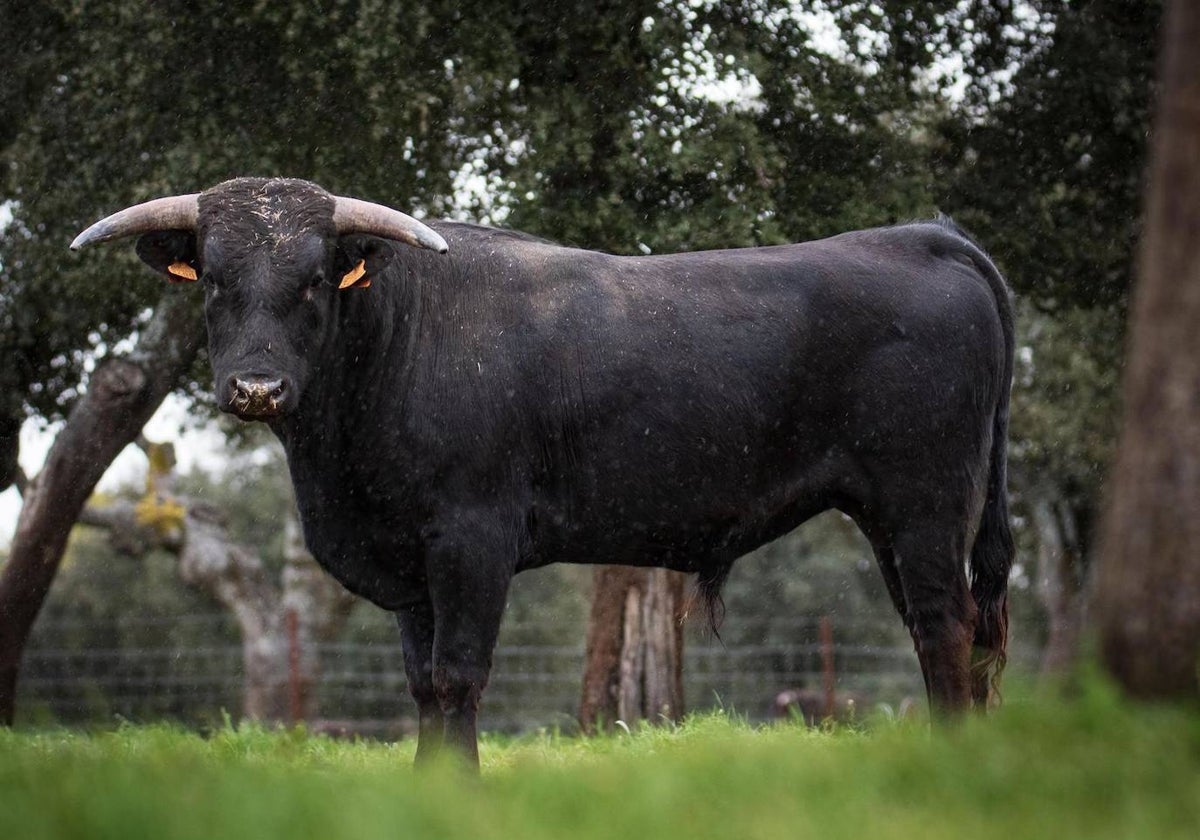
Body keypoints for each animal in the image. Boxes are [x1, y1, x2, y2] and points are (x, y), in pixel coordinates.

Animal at [72, 177, 1012, 768]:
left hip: (927, 502)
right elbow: (422, 683)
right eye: (214, 282)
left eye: (313, 282)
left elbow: (458, 675)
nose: (257, 388)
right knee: (944, 632)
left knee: (944, 628)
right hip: (894, 517)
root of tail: (927, 237)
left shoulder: (471, 539)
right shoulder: (411, 563)